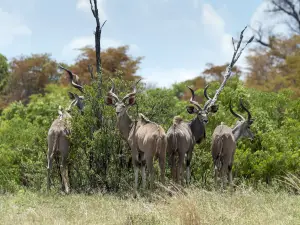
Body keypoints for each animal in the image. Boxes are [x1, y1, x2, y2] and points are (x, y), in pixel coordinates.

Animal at [47, 65, 84, 193]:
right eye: (83, 99)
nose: (83, 111)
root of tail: (57, 131)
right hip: (64, 151)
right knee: (64, 165)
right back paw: (68, 189)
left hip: (50, 150)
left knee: (50, 165)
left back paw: (48, 188)